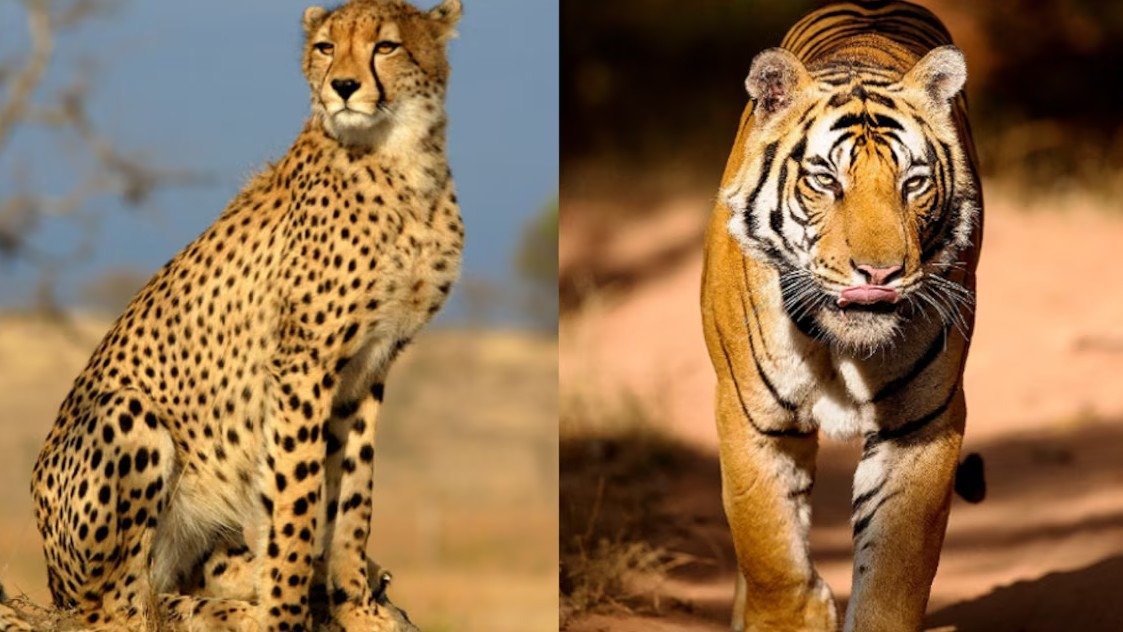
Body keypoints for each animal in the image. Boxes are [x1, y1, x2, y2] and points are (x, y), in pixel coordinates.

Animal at [700, 1, 983, 631]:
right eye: (825, 180)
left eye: (913, 183)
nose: (879, 273)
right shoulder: (752, 417)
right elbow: (769, 549)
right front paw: (791, 614)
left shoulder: (920, 423)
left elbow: (896, 570)